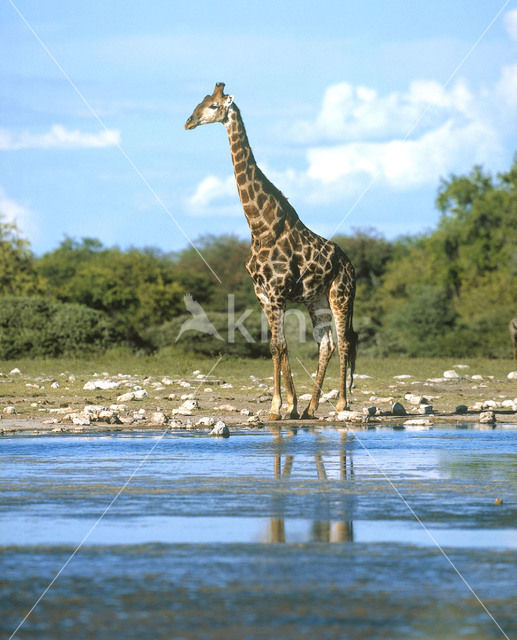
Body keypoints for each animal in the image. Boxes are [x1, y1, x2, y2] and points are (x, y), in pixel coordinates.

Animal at [183, 81, 356, 420]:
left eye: (213, 106)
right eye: (200, 102)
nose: (189, 122)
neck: (260, 227)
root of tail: (351, 265)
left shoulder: (276, 293)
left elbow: (280, 346)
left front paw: (281, 407)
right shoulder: (262, 294)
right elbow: (276, 346)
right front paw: (288, 405)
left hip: (341, 296)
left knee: (344, 342)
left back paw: (342, 404)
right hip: (316, 300)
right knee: (326, 343)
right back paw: (311, 409)